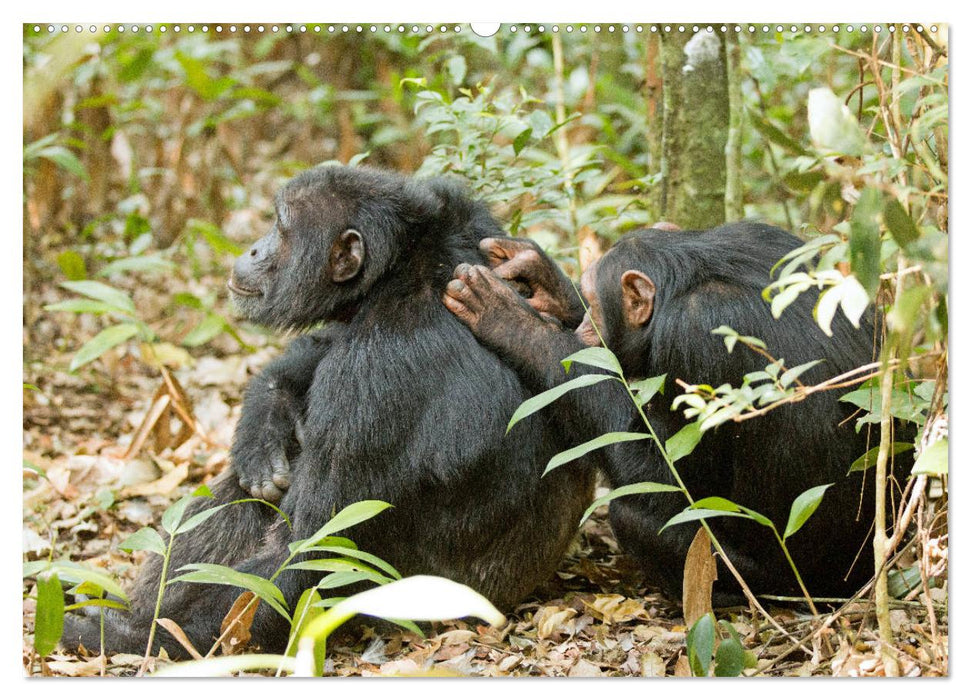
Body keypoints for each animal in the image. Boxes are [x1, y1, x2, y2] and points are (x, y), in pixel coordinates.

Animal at [60, 167, 596, 660]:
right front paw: (261, 430)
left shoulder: (373, 375)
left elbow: (310, 550)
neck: (397, 272)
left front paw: (115, 635)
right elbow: (315, 349)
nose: (253, 249)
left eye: (280, 226)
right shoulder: (472, 219)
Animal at [442, 223, 912, 600]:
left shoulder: (695, 340)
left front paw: (512, 322)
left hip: (778, 580)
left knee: (633, 515)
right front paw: (540, 276)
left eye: (594, 305)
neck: (690, 274)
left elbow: (665, 474)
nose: (584, 326)